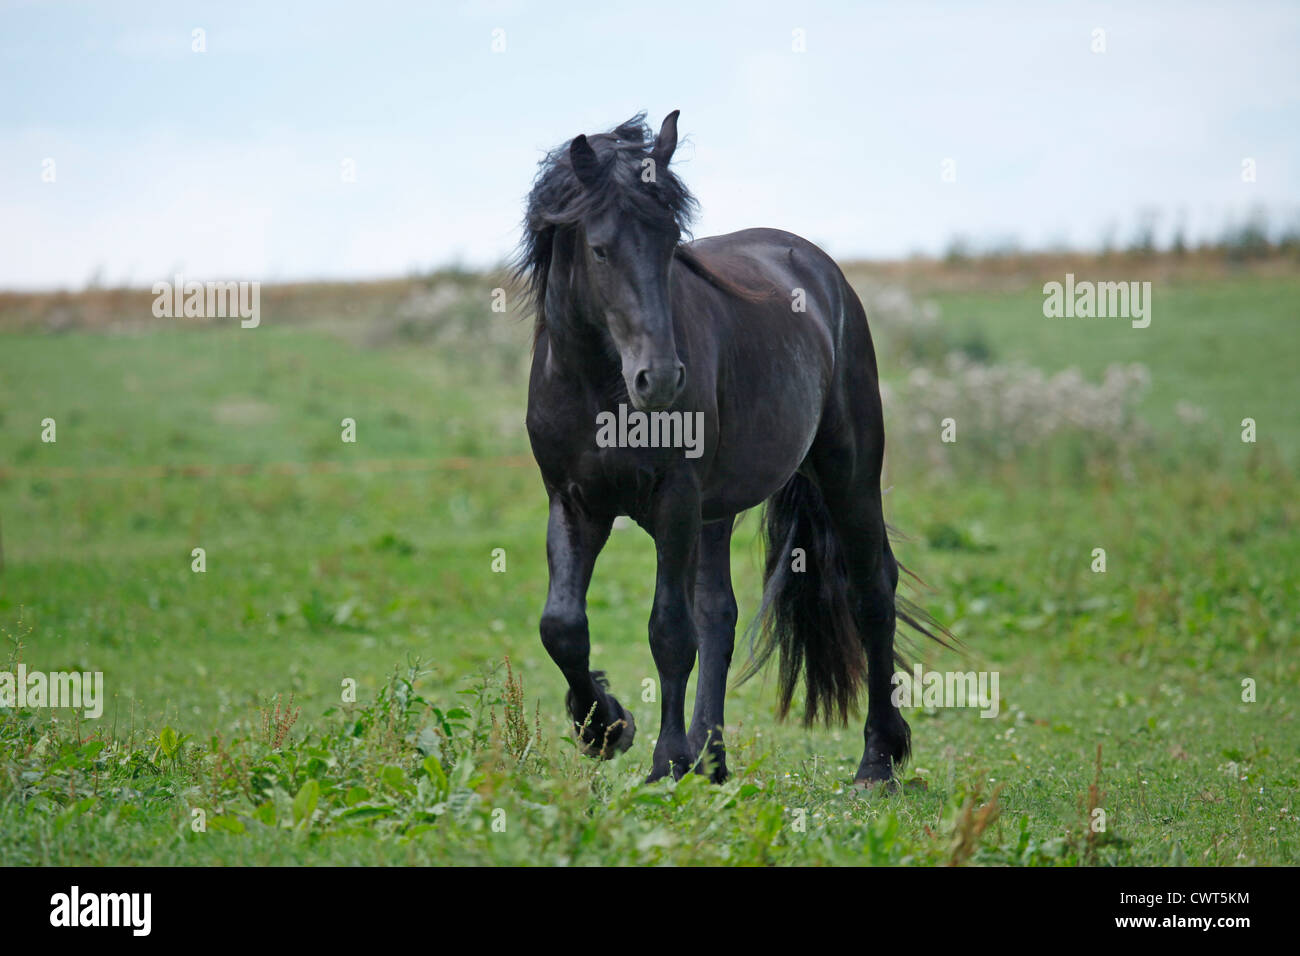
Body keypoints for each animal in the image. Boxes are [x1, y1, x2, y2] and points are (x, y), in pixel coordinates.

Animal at [520, 110, 956, 785]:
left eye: (670, 240)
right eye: (599, 249)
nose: (660, 379)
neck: (599, 385)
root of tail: (821, 271)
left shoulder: (674, 500)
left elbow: (669, 632)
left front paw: (664, 761)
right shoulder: (574, 501)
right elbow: (563, 627)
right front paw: (607, 728)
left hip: (847, 472)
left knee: (871, 590)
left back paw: (876, 762)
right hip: (715, 511)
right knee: (718, 614)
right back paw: (712, 756)